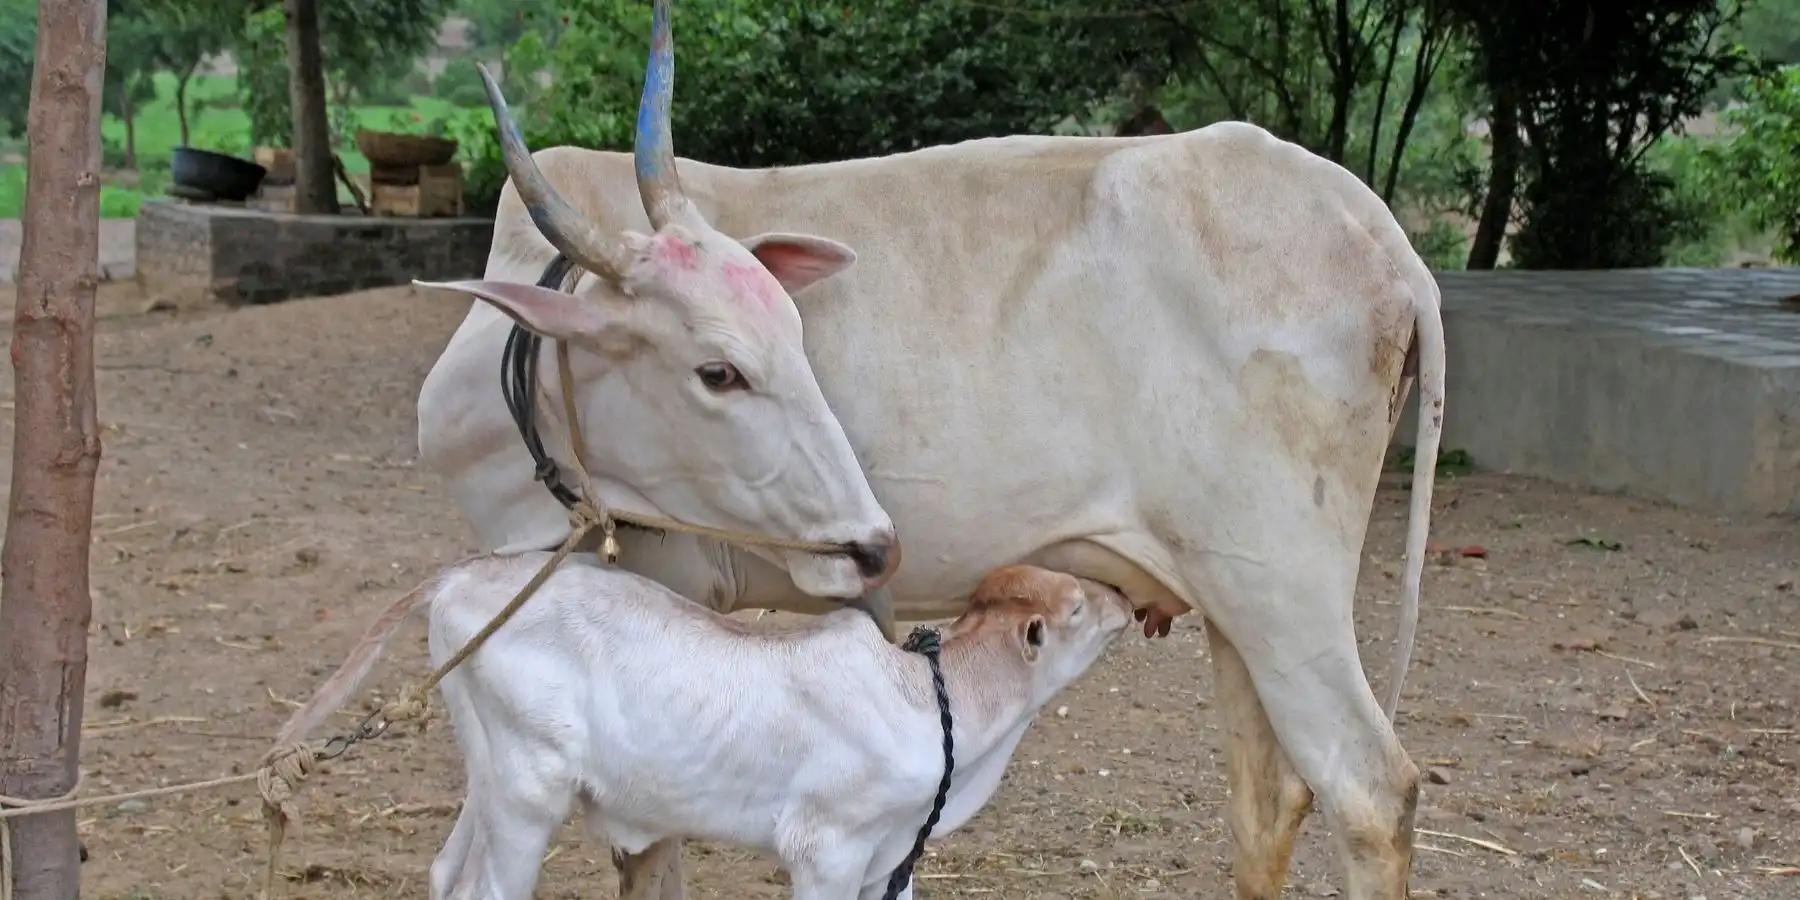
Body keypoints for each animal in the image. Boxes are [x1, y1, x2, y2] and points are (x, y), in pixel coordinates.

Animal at [272, 561, 1133, 900]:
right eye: (1077, 606)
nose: (1124, 599)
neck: (930, 699)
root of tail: (466, 575)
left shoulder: (890, 859)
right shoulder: (824, 851)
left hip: (490, 775)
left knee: (450, 872)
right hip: (528, 789)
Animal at [412, 2, 1447, 898]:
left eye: (783, 336)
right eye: (719, 371)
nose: (875, 546)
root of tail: (1375, 229)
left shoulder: (665, 583)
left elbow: (647, 845)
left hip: (1281, 583)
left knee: (1368, 791)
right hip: (1234, 601)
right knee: (1269, 800)